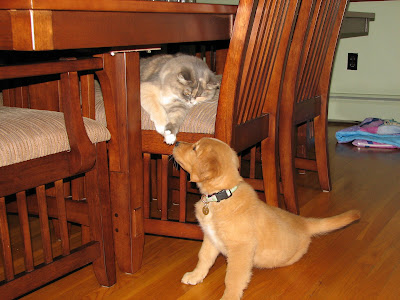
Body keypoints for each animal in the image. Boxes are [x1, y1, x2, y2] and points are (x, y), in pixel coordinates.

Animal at [173, 138, 360, 300]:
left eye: (194, 148)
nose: (175, 142)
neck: (220, 197)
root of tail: (304, 222)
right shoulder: (211, 237)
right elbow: (204, 258)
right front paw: (195, 275)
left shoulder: (241, 248)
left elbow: (233, 278)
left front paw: (229, 297)